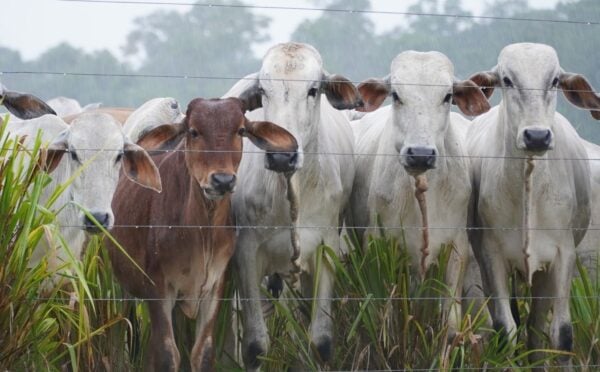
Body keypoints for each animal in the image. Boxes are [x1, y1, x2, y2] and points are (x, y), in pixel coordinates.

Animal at [107, 97, 298, 370]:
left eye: (240, 130)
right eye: (193, 131)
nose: (222, 180)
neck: (201, 232)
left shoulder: (214, 287)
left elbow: (202, 352)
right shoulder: (158, 288)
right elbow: (166, 353)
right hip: (123, 288)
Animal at [220, 41, 360, 370]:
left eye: (313, 90)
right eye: (263, 91)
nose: (282, 155)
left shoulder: (325, 248)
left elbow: (320, 341)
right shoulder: (246, 253)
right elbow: (255, 344)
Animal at [350, 50, 490, 338]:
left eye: (448, 96)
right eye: (396, 95)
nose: (421, 154)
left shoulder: (457, 246)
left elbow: (451, 323)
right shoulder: (377, 243)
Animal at [468, 42, 600, 364]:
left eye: (554, 80)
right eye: (506, 79)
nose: (537, 136)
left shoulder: (563, 255)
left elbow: (561, 335)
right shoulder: (491, 256)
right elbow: (505, 331)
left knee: (536, 328)